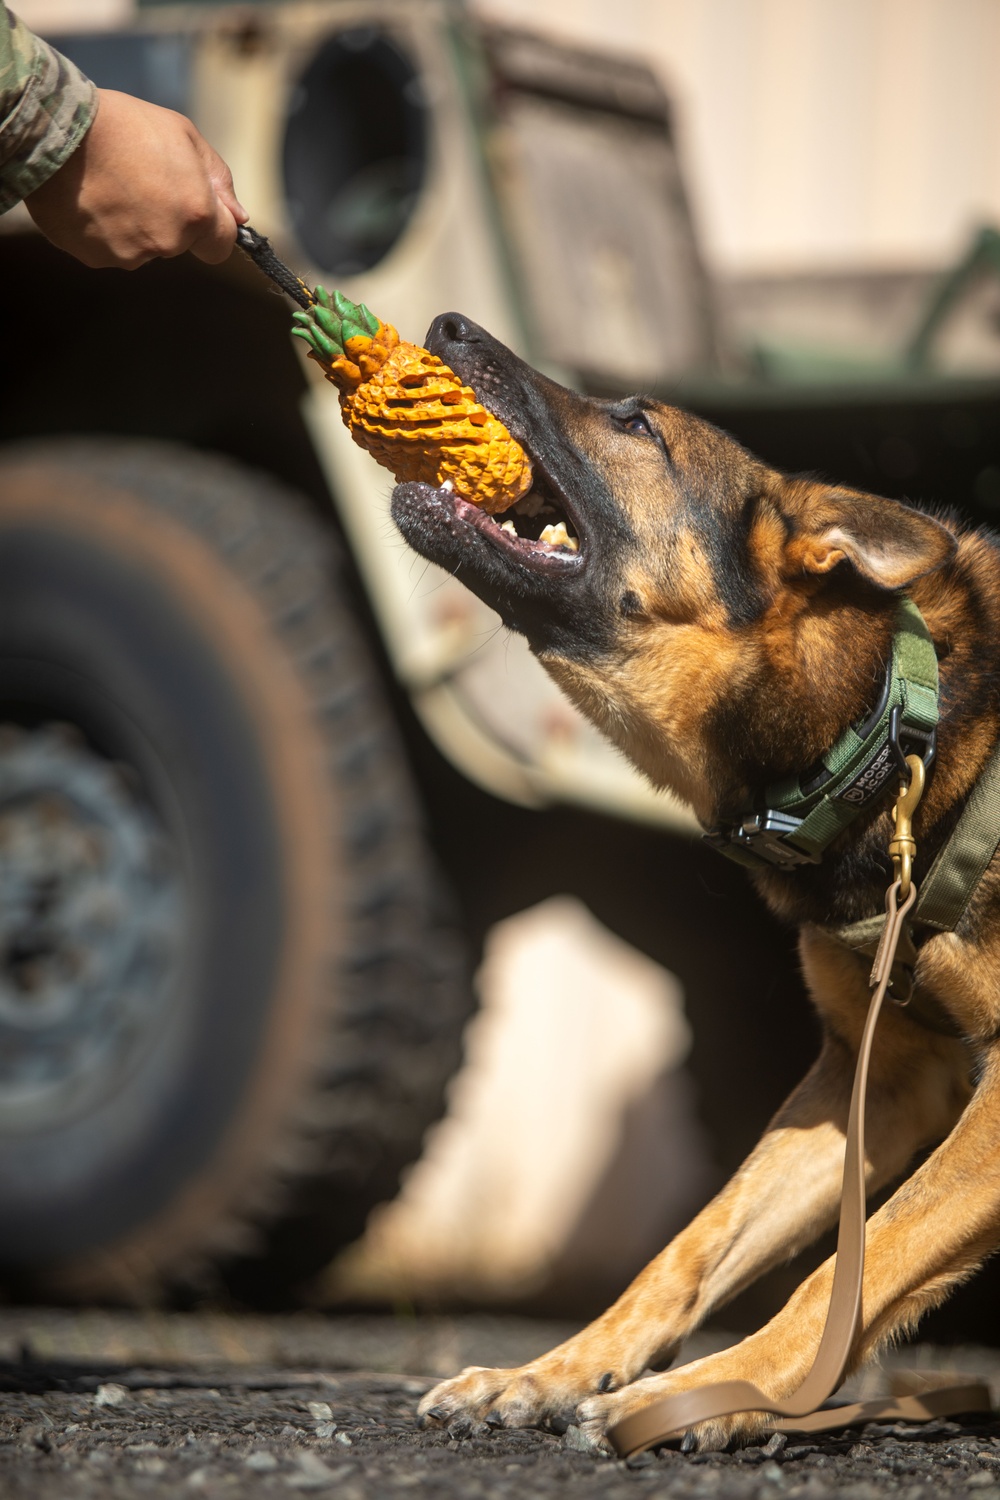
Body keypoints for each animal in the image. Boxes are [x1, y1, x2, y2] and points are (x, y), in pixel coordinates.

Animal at [389, 313, 1000, 1452]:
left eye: (638, 422)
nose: (447, 324)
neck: (893, 717)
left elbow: (862, 1262)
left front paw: (720, 1391)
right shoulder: (880, 1080)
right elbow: (694, 1244)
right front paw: (552, 1373)